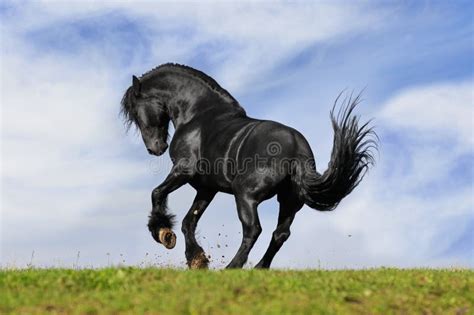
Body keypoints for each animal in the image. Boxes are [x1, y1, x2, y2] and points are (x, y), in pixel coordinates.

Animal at [120, 63, 376, 270]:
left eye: (136, 113)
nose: (155, 148)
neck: (197, 114)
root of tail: (297, 146)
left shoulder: (184, 171)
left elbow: (157, 194)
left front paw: (163, 233)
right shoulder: (207, 189)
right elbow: (188, 221)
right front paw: (197, 259)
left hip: (245, 195)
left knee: (253, 230)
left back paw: (233, 267)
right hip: (289, 201)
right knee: (280, 234)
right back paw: (259, 268)